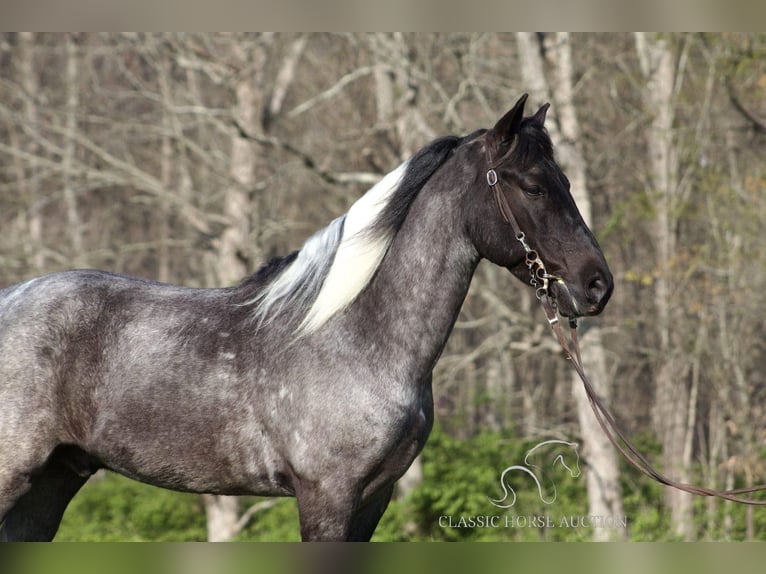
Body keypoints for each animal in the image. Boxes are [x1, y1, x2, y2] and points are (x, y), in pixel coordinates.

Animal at [0, 93, 612, 540]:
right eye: (532, 186)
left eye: (567, 183)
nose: (597, 285)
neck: (359, 337)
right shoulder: (327, 496)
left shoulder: (372, 500)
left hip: (50, 484)